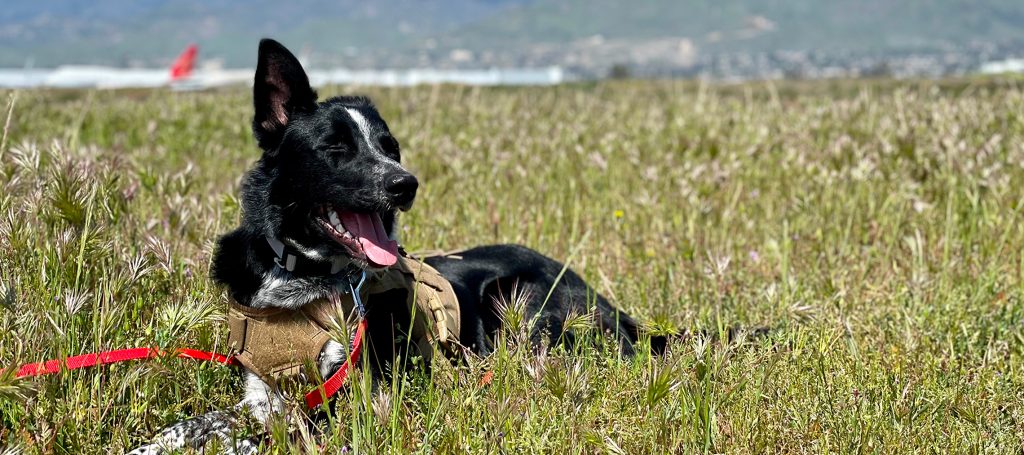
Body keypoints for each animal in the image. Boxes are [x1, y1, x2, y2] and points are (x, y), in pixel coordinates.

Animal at [130, 38, 655, 450]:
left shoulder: (353, 394)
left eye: (391, 148)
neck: (303, 277)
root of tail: (611, 306)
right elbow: (213, 418)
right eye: (336, 149)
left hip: (522, 304)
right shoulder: (263, 389)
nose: (406, 184)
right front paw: (160, 441)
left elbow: (261, 428)